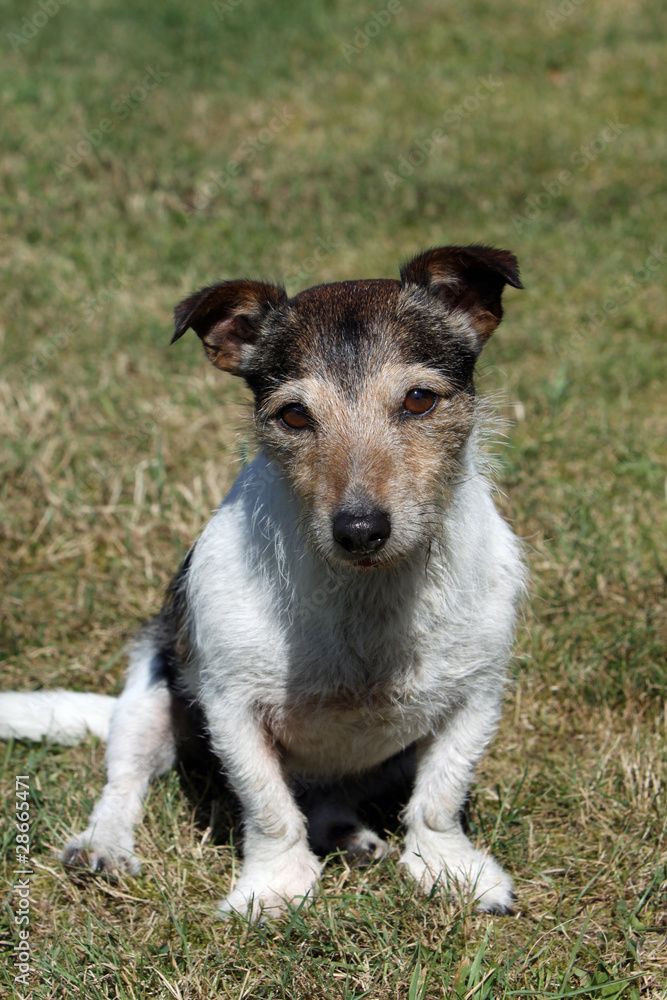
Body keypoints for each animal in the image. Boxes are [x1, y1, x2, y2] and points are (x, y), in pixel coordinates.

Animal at [2, 244, 528, 920]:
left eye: (418, 400)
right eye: (295, 415)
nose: (359, 529)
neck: (366, 594)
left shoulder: (476, 697)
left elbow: (440, 795)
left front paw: (451, 869)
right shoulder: (233, 707)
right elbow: (268, 805)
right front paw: (275, 886)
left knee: (332, 795)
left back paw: (347, 833)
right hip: (149, 697)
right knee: (126, 780)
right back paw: (104, 845)